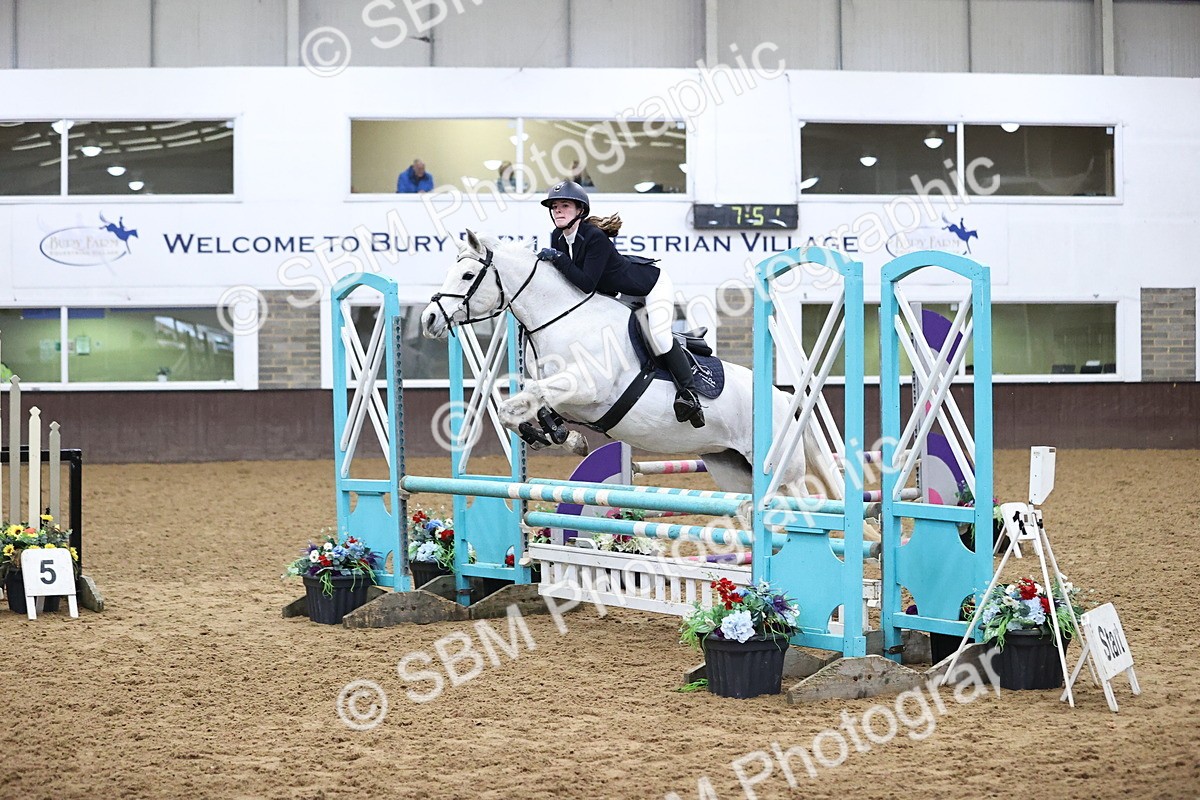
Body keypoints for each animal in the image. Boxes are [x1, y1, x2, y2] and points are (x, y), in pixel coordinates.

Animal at [421, 231, 843, 501]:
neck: (562, 317)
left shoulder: (588, 388)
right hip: (732, 468)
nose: (429, 319)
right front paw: (562, 437)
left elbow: (529, 398)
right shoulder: (564, 394)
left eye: (467, 274)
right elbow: (522, 408)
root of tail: (783, 398)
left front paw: (562, 437)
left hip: (781, 470)